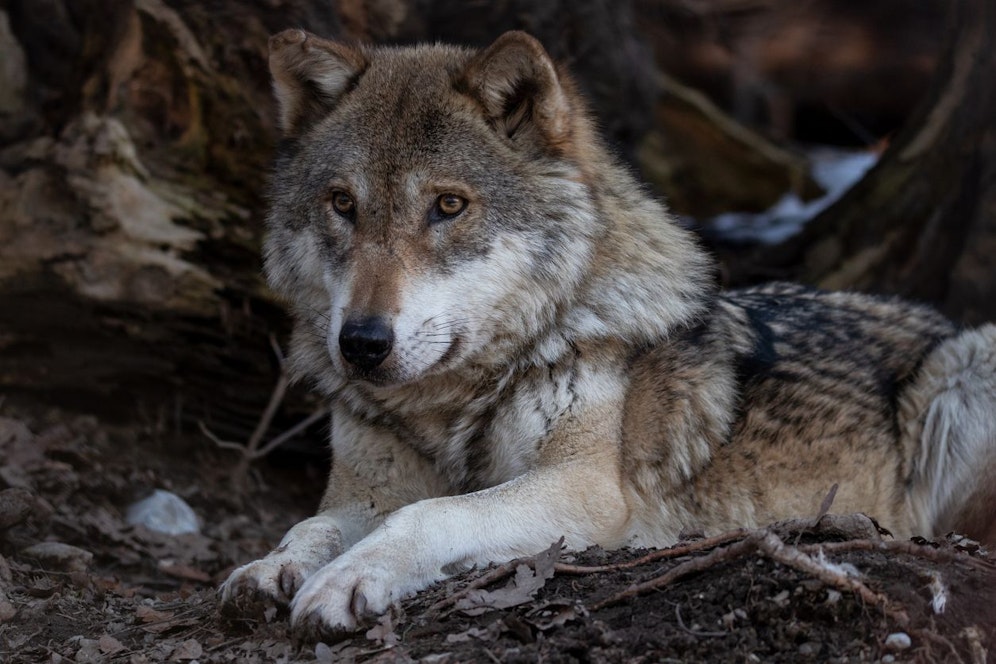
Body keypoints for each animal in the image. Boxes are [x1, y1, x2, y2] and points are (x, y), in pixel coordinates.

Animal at [220, 28, 996, 636]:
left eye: (448, 206)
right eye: (342, 205)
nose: (361, 344)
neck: (453, 404)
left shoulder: (584, 488)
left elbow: (428, 514)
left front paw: (344, 581)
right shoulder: (363, 490)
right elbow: (314, 524)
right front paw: (271, 567)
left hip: (968, 367)